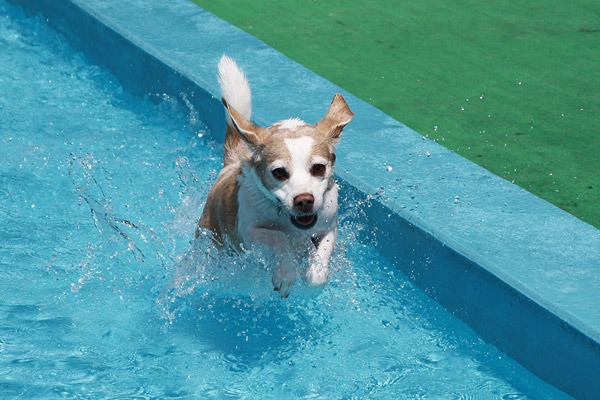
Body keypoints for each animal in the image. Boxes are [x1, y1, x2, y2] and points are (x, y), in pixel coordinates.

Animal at [199, 55, 354, 296]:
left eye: (319, 168)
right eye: (279, 172)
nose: (304, 201)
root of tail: (232, 163)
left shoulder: (329, 228)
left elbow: (319, 263)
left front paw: (314, 271)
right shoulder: (249, 233)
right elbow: (280, 238)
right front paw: (286, 274)